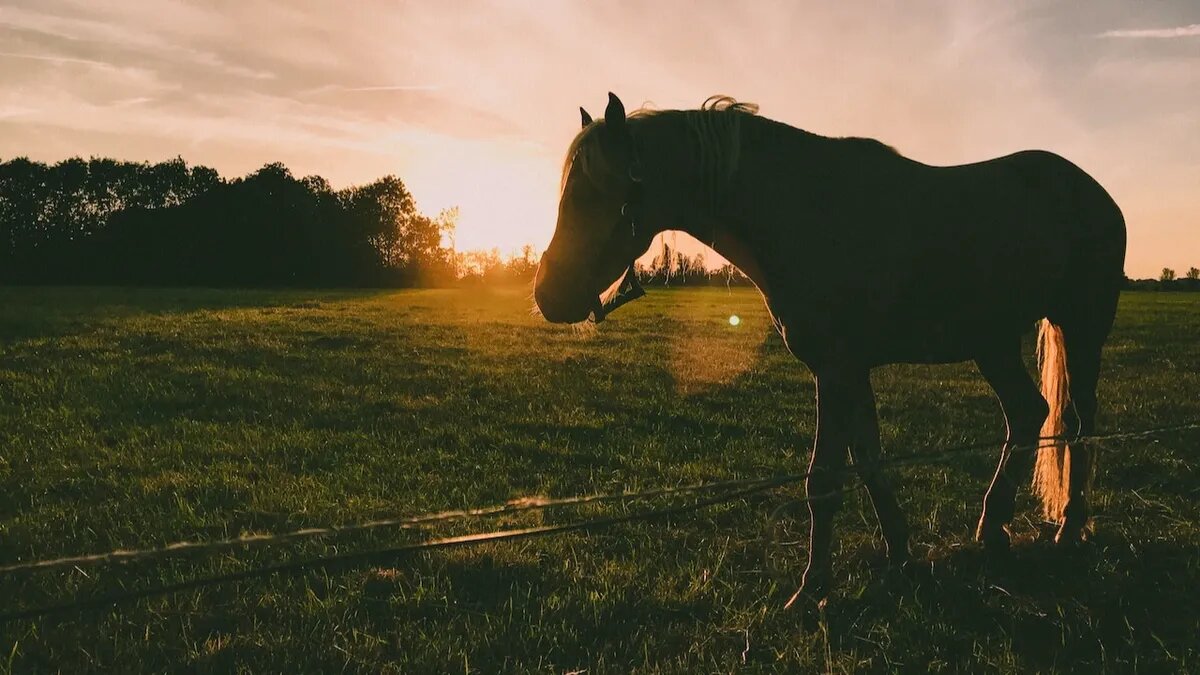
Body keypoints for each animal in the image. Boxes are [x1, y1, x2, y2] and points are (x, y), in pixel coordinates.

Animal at [535, 91, 1123, 607]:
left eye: (593, 192)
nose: (547, 295)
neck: (804, 212)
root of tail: (1092, 191)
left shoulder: (836, 370)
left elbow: (824, 480)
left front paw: (813, 588)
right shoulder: (848, 371)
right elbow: (868, 462)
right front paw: (901, 555)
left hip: (1080, 328)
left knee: (1077, 421)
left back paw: (1070, 526)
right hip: (993, 343)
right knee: (1027, 414)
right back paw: (994, 527)